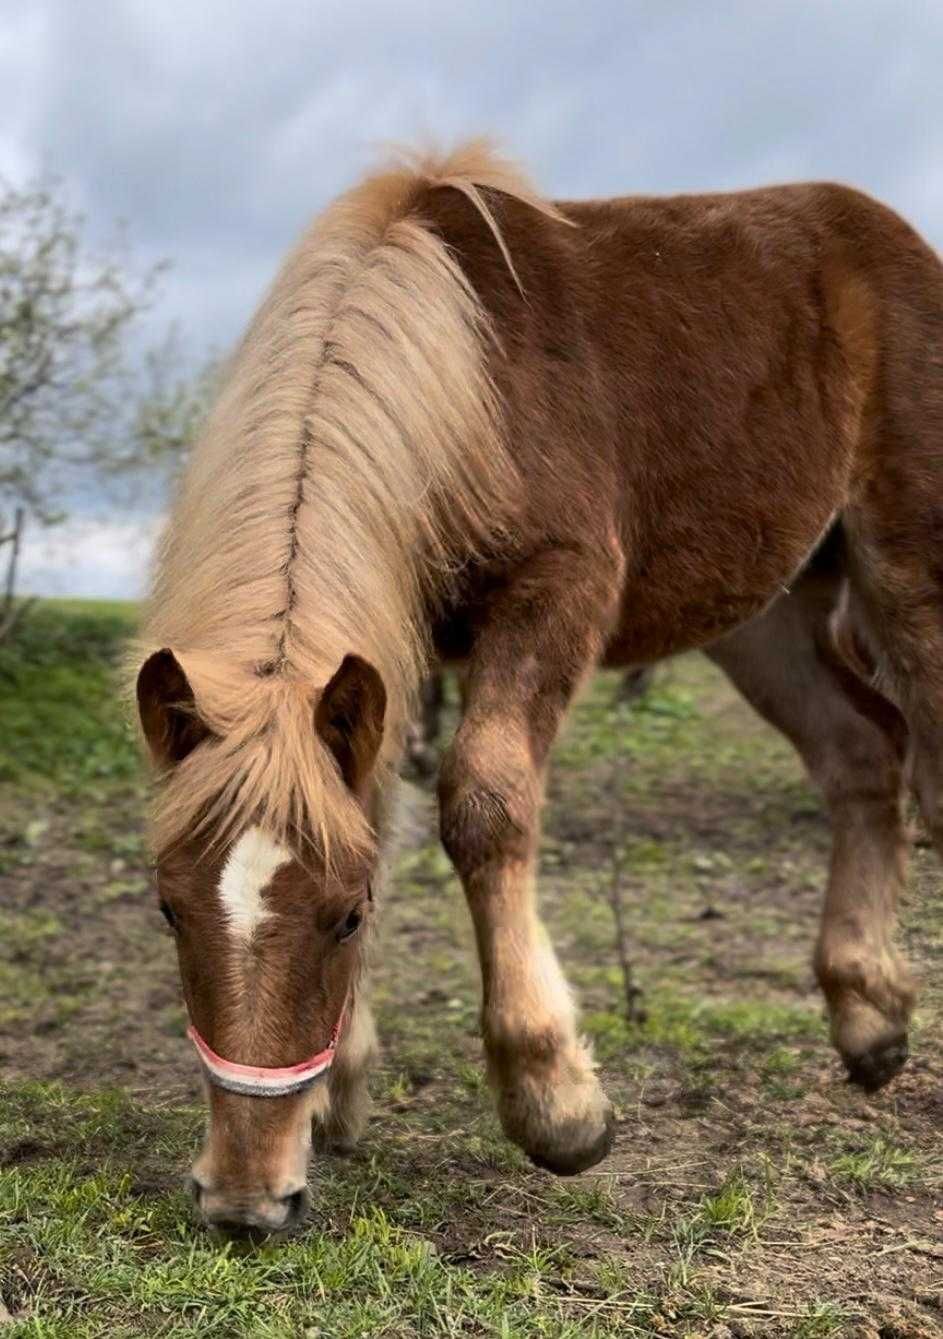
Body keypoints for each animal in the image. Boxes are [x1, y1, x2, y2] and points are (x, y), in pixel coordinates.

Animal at [134, 143, 943, 1231]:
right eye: (170, 909)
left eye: (344, 916)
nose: (244, 1201)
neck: (465, 386)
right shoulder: (393, 649)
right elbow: (377, 810)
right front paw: (339, 1097)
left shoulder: (558, 588)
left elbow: (484, 800)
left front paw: (554, 1099)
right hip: (766, 614)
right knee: (860, 753)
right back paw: (867, 1017)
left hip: (906, 572)